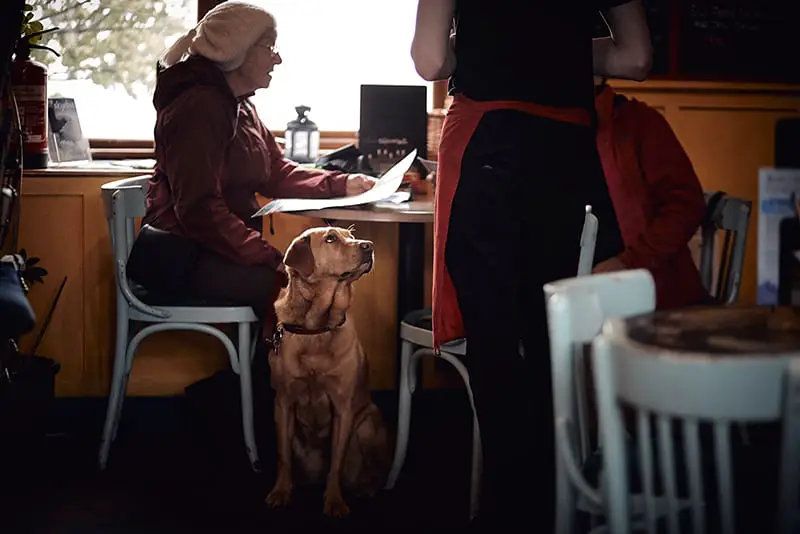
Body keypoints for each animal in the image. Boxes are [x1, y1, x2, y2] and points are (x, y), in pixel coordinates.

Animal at [268, 227, 392, 520]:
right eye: (331, 238)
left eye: (351, 236)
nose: (369, 246)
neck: (317, 327)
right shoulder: (283, 403)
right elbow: (283, 456)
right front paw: (281, 492)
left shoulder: (343, 408)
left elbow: (337, 459)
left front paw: (334, 501)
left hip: (368, 425)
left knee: (371, 473)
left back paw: (365, 489)